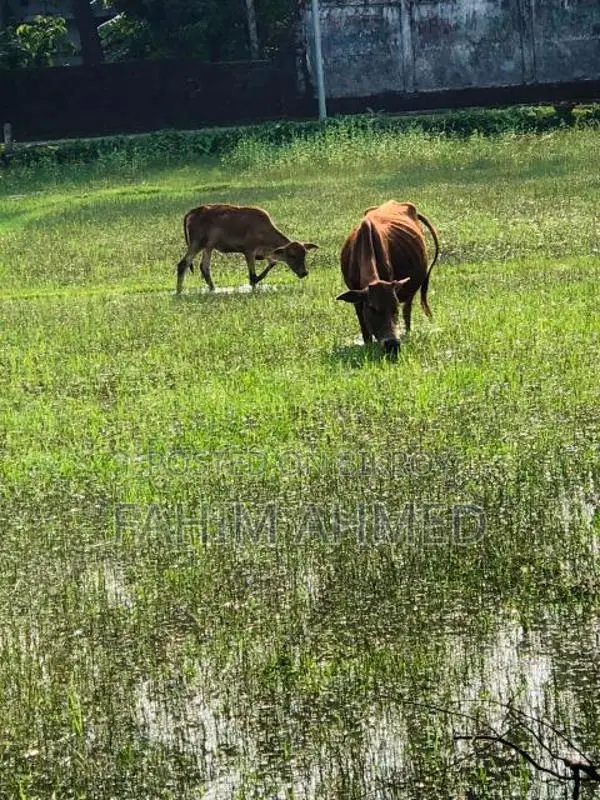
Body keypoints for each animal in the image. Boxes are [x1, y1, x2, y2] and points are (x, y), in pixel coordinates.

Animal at [175, 203, 319, 294]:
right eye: (292, 255)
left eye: (304, 254)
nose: (304, 273)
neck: (264, 231)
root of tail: (193, 212)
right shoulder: (249, 251)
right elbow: (252, 275)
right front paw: (253, 284)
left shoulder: (265, 254)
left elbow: (272, 263)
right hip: (197, 244)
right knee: (183, 264)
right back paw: (179, 291)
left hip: (208, 247)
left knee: (204, 267)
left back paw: (213, 289)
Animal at [336, 200, 440, 358]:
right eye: (372, 308)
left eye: (395, 307)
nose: (392, 345)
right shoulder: (357, 299)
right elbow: (365, 330)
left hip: (411, 291)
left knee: (407, 312)